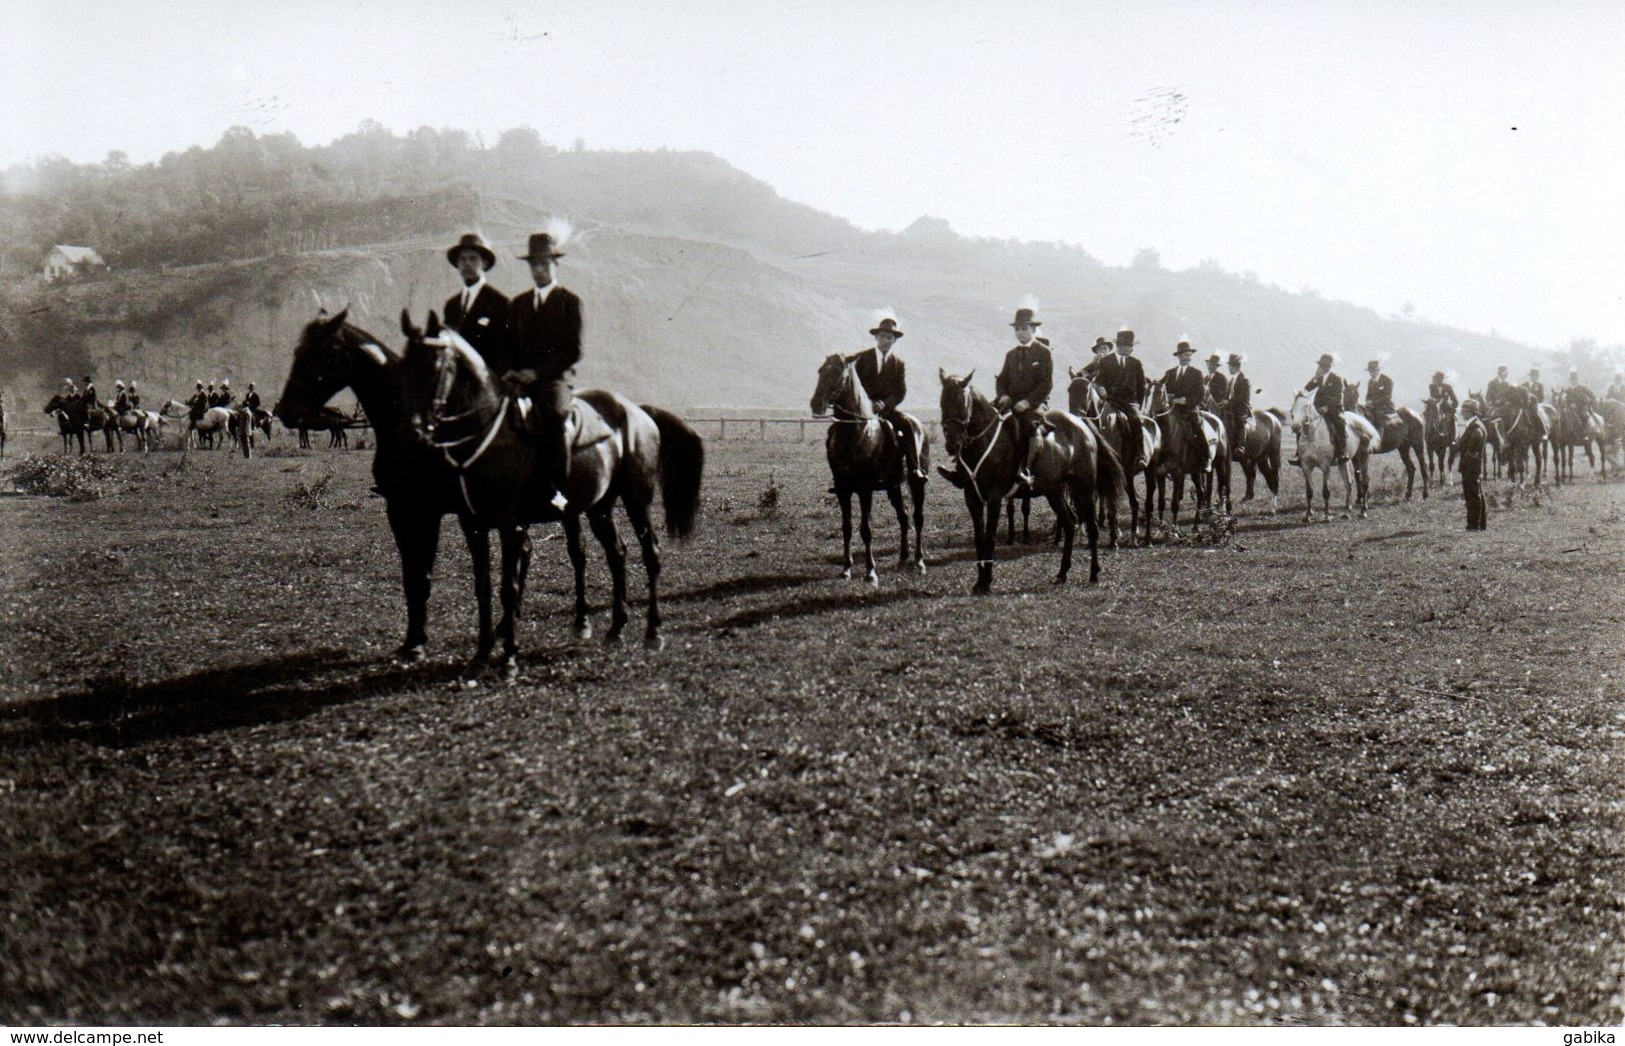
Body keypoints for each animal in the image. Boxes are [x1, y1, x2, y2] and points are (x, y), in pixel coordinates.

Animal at [809, 349, 929, 581]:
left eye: (840, 372)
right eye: (820, 370)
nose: (816, 404)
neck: (855, 433)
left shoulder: (865, 489)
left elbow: (866, 529)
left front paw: (870, 571)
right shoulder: (843, 489)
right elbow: (846, 527)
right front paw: (846, 568)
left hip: (916, 482)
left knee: (917, 518)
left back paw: (919, 561)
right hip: (893, 487)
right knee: (903, 517)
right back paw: (902, 558)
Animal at [942, 371, 1118, 591]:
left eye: (963, 403)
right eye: (943, 401)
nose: (952, 444)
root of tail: (1081, 424)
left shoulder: (994, 497)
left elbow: (989, 537)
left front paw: (986, 582)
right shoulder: (972, 497)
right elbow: (979, 538)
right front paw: (979, 581)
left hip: (1084, 488)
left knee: (1092, 528)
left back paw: (1094, 573)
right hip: (1054, 491)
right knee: (1069, 522)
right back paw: (1062, 572)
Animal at [1287, 393, 1378, 523]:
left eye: (1306, 405)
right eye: (1292, 408)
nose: (1295, 427)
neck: (1312, 437)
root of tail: (1360, 420)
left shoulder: (1325, 467)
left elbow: (1326, 491)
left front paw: (1326, 516)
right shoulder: (1306, 466)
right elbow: (1309, 491)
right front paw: (1308, 516)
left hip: (1363, 456)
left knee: (1365, 482)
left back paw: (1363, 511)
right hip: (1343, 462)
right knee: (1348, 484)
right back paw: (1346, 512)